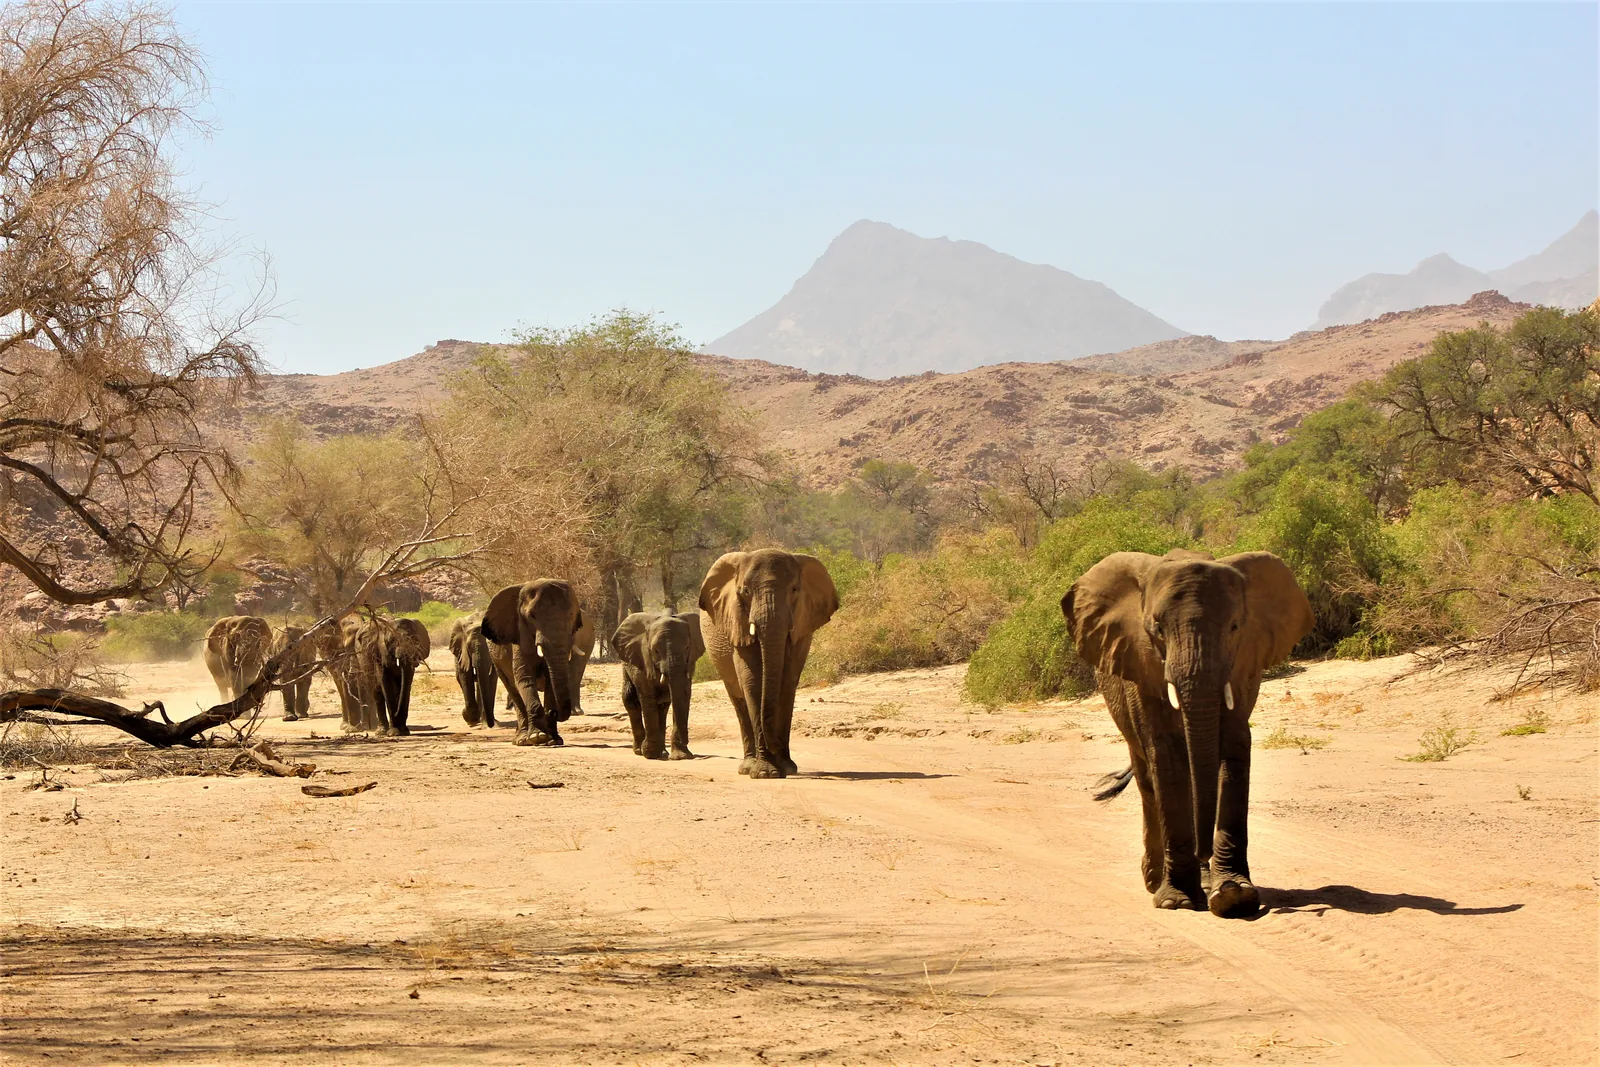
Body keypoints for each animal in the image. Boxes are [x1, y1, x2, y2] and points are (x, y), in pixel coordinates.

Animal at [480, 579, 593, 746]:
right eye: (532, 616)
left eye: (571, 615)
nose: (553, 712)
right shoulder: (520, 635)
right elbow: (524, 678)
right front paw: (537, 737)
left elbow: (550, 682)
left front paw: (553, 740)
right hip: (495, 659)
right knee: (513, 689)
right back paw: (521, 739)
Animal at [613, 610, 705, 760]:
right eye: (656, 651)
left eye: (687, 648)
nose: (686, 741)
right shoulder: (643, 659)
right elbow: (647, 697)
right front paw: (650, 754)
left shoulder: (690, 662)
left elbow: (684, 695)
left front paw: (681, 756)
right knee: (630, 699)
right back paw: (639, 751)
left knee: (663, 705)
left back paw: (663, 752)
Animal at [698, 549, 838, 779]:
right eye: (745, 591)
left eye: (794, 589)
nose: (775, 748)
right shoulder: (737, 622)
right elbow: (753, 681)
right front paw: (766, 772)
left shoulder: (802, 623)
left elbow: (787, 680)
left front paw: (787, 767)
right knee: (739, 700)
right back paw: (747, 767)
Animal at [1061, 549, 1312, 918]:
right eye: (1157, 629)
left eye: (1235, 627)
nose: (1203, 853)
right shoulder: (1142, 668)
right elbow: (1167, 760)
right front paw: (1177, 901)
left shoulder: (1243, 665)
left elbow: (1233, 749)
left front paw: (1233, 895)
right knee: (1148, 781)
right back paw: (1156, 880)